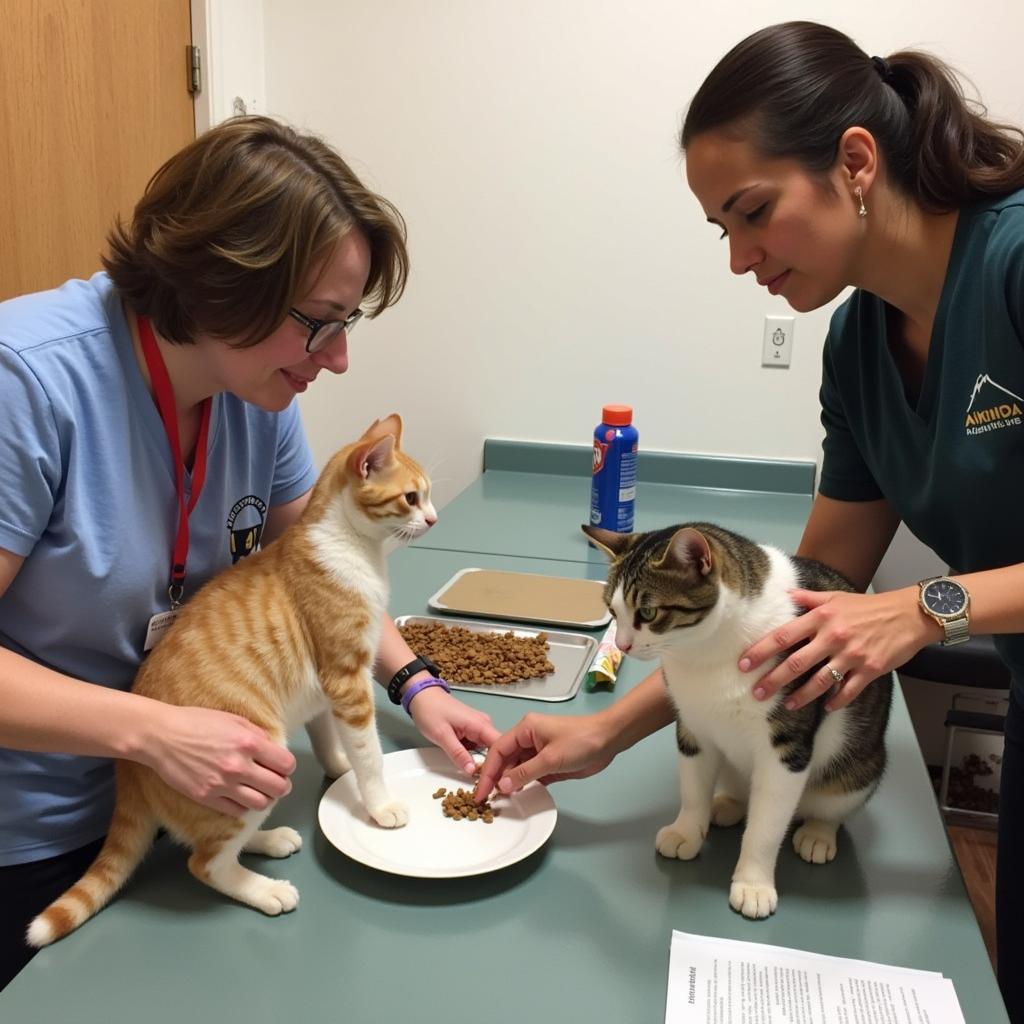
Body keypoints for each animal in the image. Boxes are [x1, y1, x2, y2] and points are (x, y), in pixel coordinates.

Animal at [28, 411, 436, 946]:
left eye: (428, 496)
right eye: (411, 498)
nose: (433, 519)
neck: (351, 546)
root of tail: (129, 770)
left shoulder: (325, 692)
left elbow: (330, 739)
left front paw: (338, 768)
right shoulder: (347, 679)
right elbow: (368, 753)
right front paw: (379, 803)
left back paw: (269, 839)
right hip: (263, 755)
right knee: (205, 863)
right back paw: (265, 889)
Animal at [581, 520, 892, 921]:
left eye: (648, 613)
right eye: (612, 610)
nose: (622, 645)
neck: (705, 650)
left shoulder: (786, 746)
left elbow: (766, 826)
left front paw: (754, 884)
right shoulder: (693, 725)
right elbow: (692, 789)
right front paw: (687, 832)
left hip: (858, 767)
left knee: (831, 803)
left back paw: (817, 834)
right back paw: (727, 804)